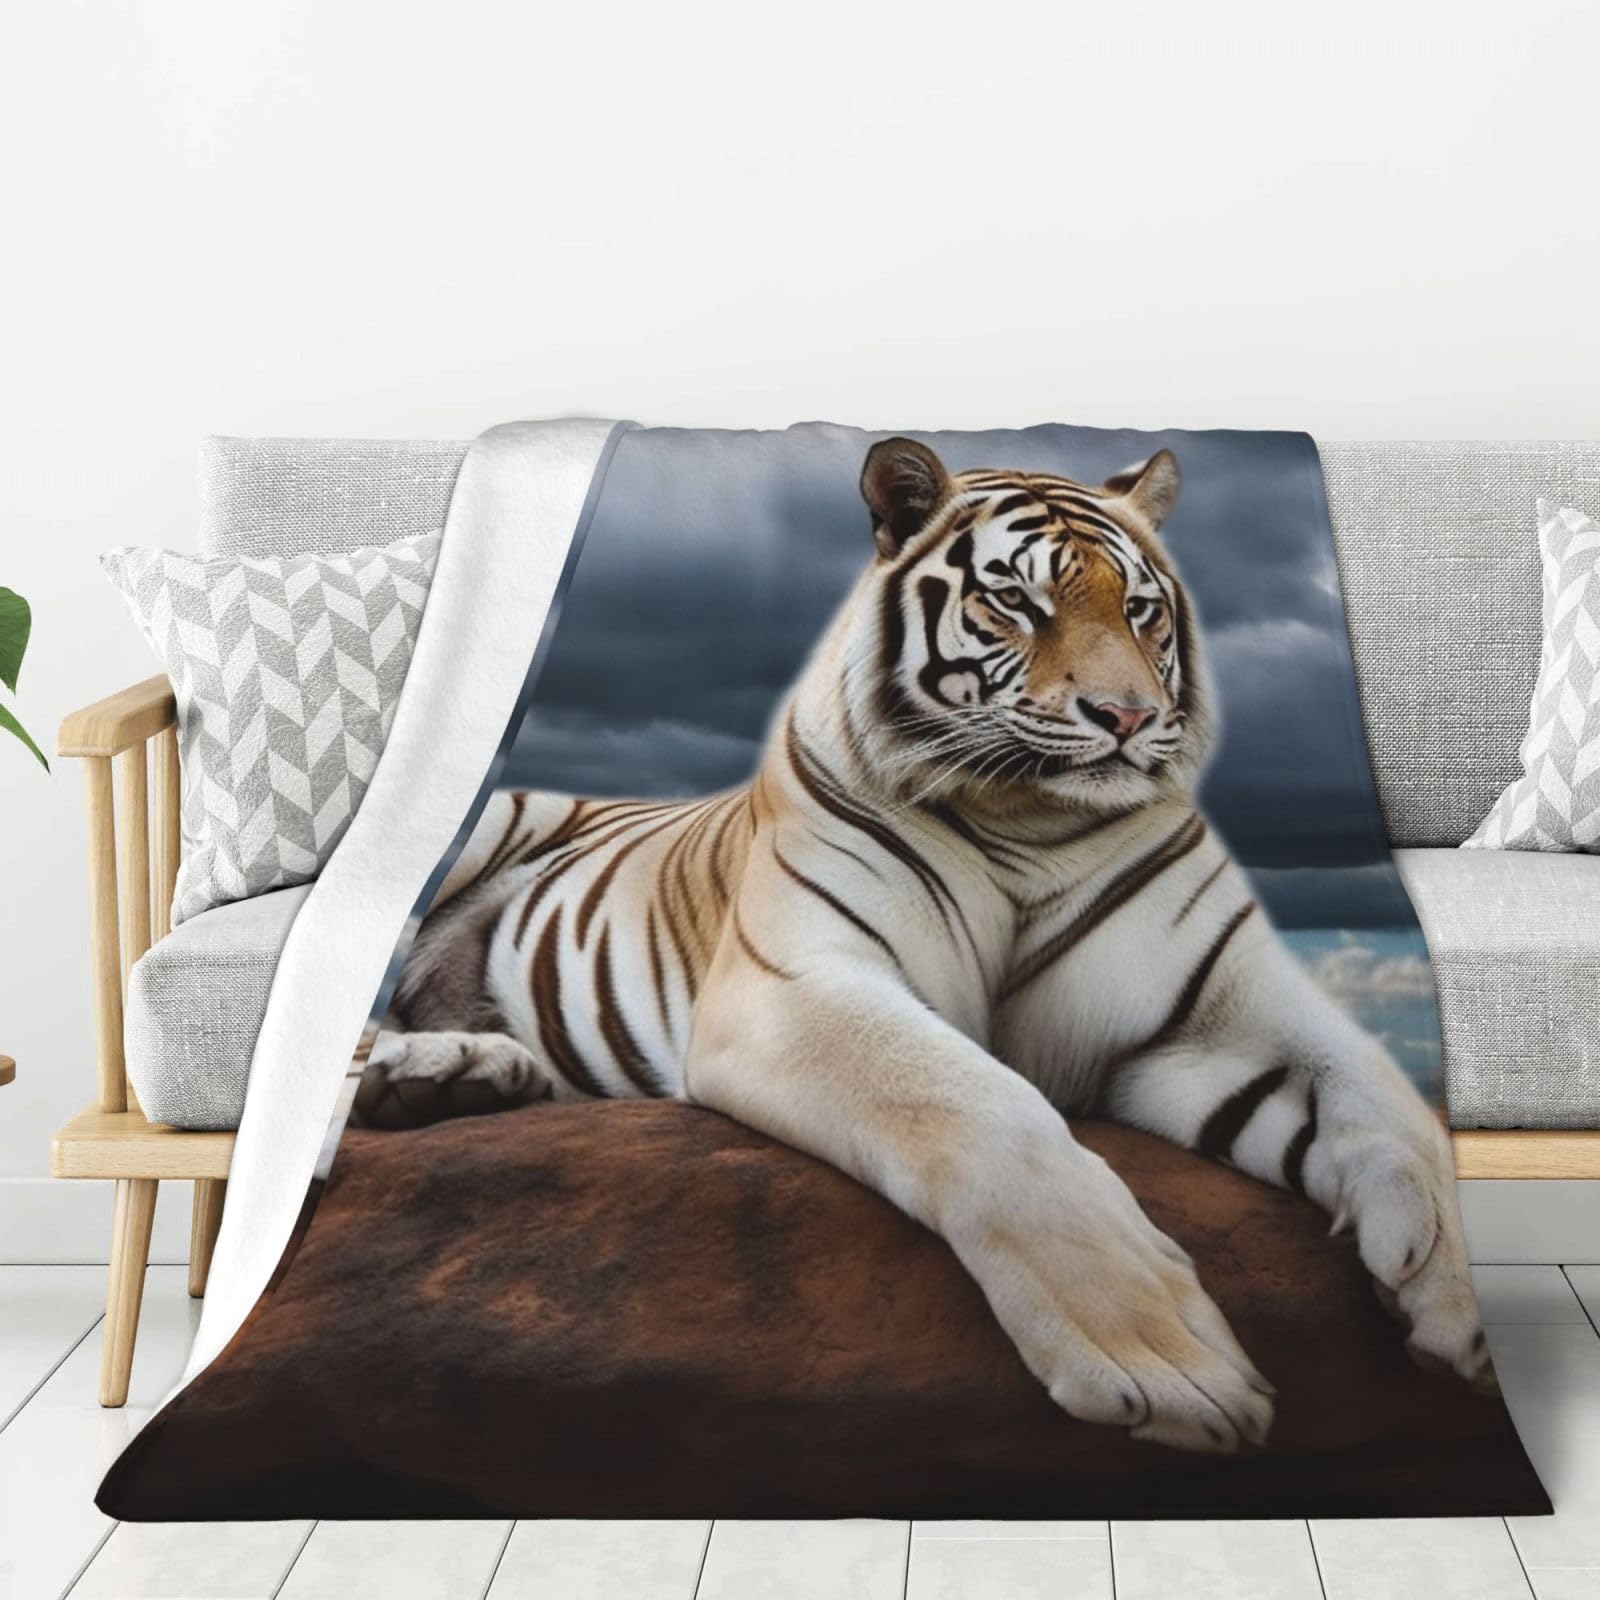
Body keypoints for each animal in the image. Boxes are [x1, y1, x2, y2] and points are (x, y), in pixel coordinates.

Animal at [357, 437, 1490, 1453]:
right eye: (1019, 602)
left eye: (1140, 609)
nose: (1126, 717)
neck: (1031, 821)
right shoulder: (798, 986)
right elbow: (984, 1108)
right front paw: (1166, 1363)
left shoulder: (1215, 1012)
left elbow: (1379, 1089)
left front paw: (1443, 1287)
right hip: (484, 832)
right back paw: (429, 1073)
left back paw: (462, 1072)